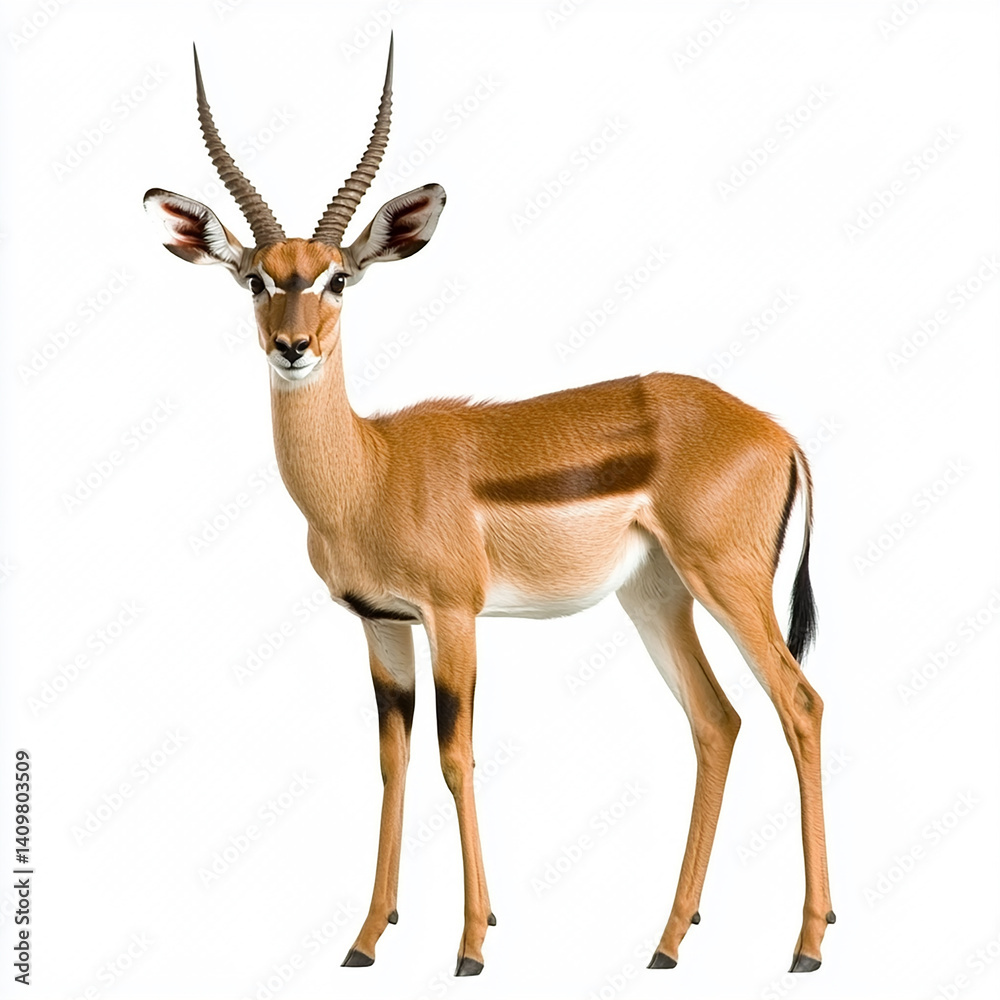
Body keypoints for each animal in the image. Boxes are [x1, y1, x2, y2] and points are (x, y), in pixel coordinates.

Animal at [144, 39, 834, 977]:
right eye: (255, 279)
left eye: (338, 279)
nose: (293, 346)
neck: (370, 471)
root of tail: (775, 429)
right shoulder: (382, 625)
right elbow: (393, 761)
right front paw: (366, 939)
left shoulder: (454, 616)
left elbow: (455, 756)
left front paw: (471, 944)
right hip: (655, 597)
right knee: (717, 721)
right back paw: (666, 941)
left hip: (727, 584)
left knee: (798, 703)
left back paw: (806, 943)